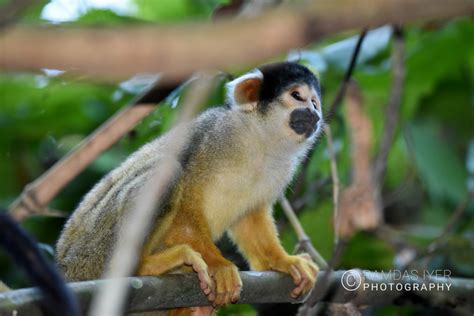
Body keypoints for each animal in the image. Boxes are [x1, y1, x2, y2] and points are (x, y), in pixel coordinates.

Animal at [54, 61, 322, 314]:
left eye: (315, 103)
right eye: (297, 96)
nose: (315, 114)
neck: (260, 140)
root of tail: (66, 269)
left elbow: (250, 218)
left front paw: (283, 261)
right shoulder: (213, 135)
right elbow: (185, 202)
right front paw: (218, 265)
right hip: (93, 254)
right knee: (167, 171)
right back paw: (143, 267)